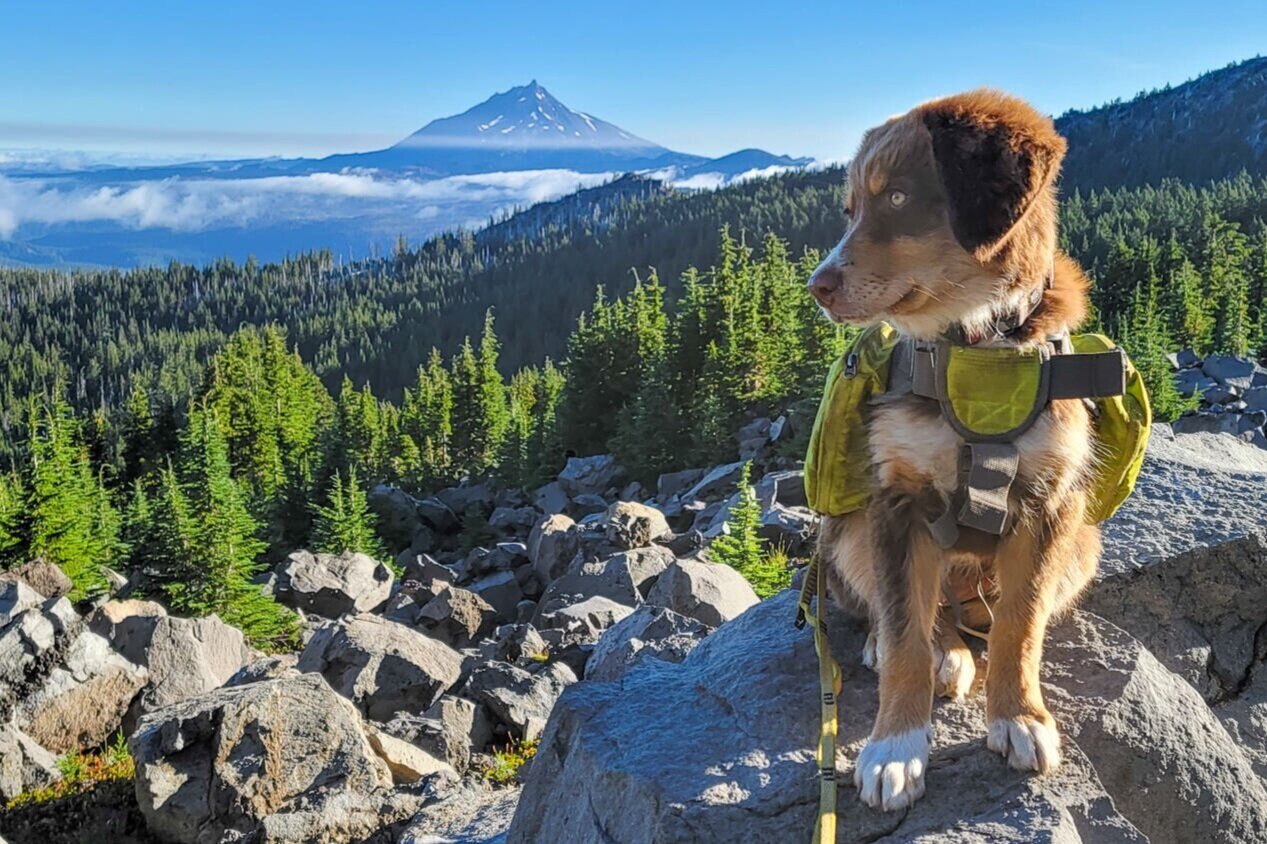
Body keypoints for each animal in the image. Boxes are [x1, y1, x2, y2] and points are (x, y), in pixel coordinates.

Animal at [810, 90, 1099, 811]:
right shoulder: (896, 501)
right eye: (851, 209)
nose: (816, 287)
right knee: (911, 613)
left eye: (897, 197)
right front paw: (895, 746)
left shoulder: (1048, 505)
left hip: (1085, 541)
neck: (977, 348)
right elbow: (906, 631)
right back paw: (927, 649)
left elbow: (1020, 625)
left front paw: (1018, 716)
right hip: (846, 530)